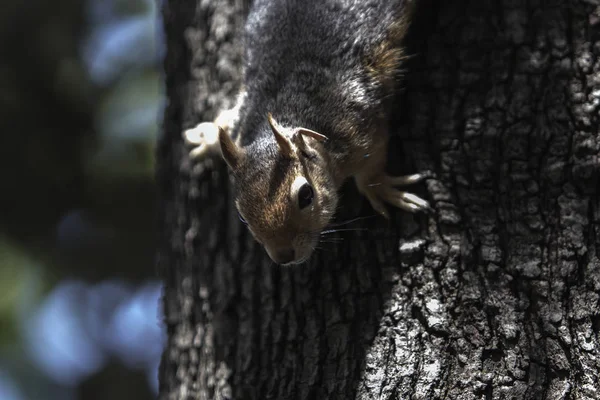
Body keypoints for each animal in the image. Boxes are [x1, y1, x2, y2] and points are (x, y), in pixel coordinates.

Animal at [185, 0, 428, 266]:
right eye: (242, 213)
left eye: (306, 195)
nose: (283, 257)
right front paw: (207, 137)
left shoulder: (361, 127)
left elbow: (370, 166)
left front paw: (383, 188)